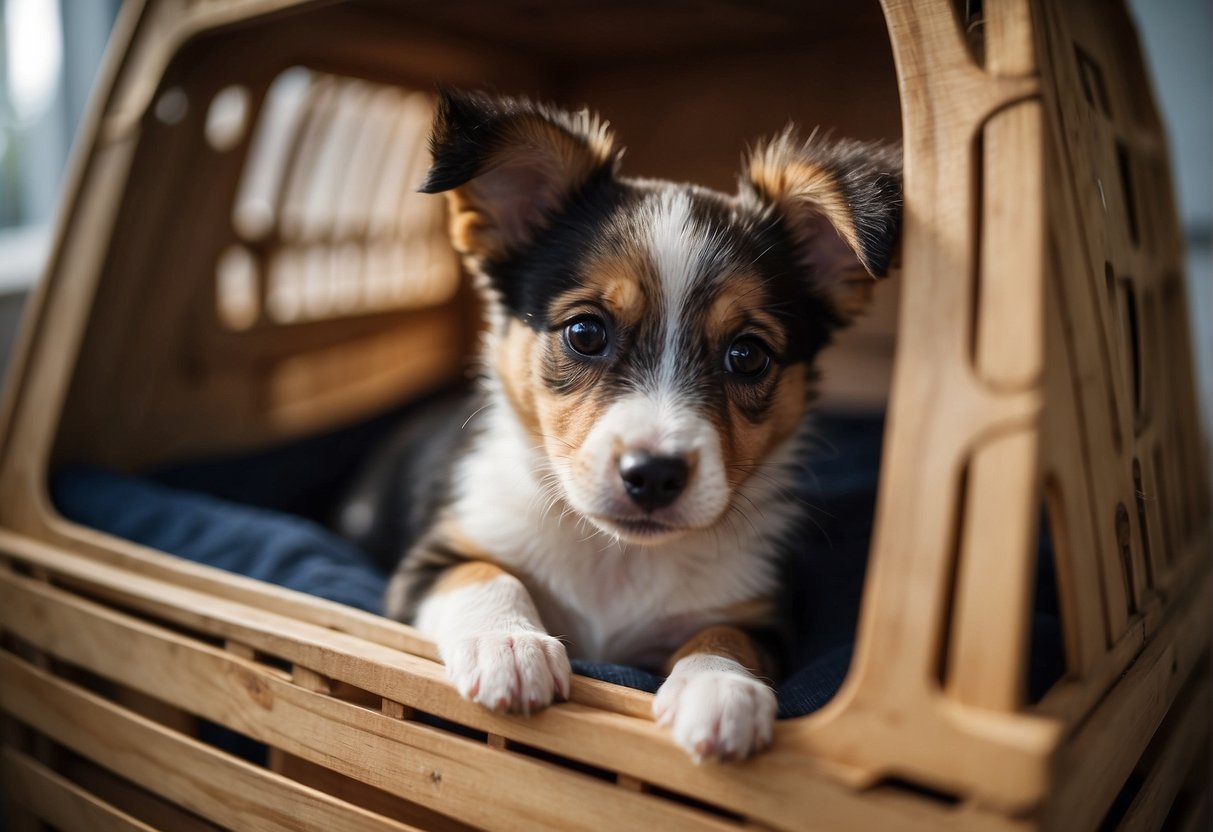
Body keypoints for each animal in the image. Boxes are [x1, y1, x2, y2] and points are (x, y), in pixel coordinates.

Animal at [342, 89, 902, 761]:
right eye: (585, 332)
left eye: (748, 355)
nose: (654, 475)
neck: (617, 558)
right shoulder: (427, 564)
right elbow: (484, 573)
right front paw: (509, 644)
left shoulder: (763, 614)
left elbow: (726, 636)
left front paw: (721, 690)